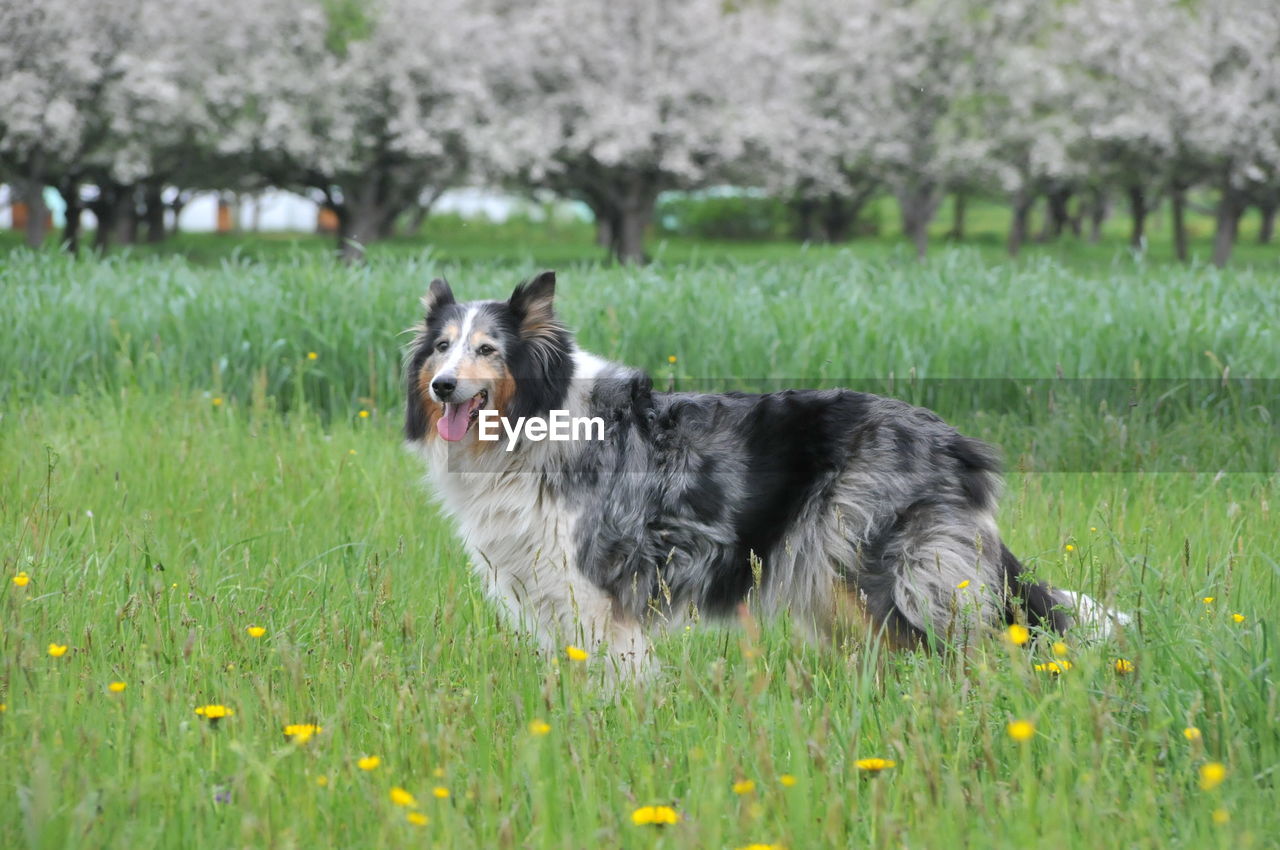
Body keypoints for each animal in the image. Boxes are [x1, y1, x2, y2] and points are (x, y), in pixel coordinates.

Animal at [401, 272, 1131, 675]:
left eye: (488, 350)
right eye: (441, 347)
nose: (441, 387)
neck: (534, 423)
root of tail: (959, 444)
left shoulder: (600, 594)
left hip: (897, 576)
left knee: (978, 649)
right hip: (840, 585)